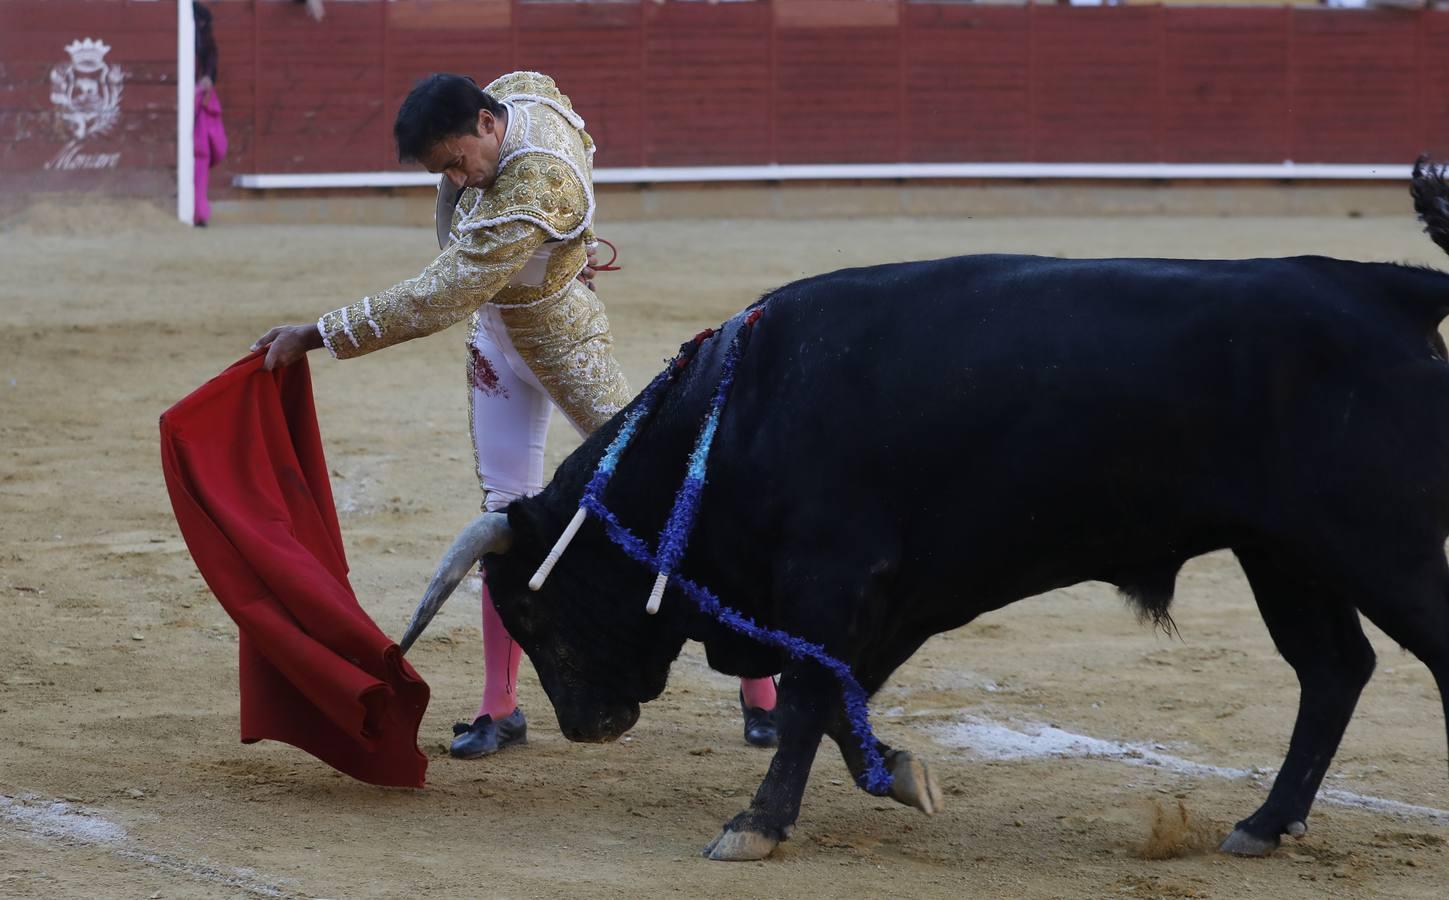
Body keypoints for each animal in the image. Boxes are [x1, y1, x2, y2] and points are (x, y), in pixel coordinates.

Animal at [402, 163, 1449, 863]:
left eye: (529, 608)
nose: (586, 725)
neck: (740, 413)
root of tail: (1386, 284)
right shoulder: (875, 604)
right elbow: (832, 700)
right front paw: (902, 774)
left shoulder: (832, 580)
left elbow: (809, 697)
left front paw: (755, 824)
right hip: (1286, 556)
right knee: (1333, 671)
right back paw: (1262, 825)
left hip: (1379, 546)